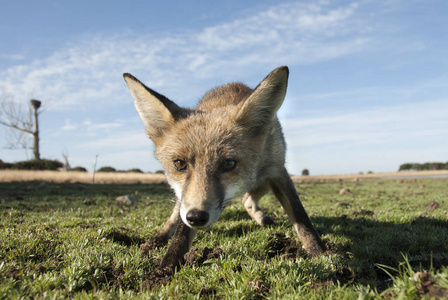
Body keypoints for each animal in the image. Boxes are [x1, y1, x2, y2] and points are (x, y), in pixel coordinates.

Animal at [123, 66, 326, 270]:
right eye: (179, 164)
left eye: (228, 164)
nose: (196, 217)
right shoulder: (188, 202)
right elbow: (181, 232)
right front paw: (166, 266)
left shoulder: (278, 172)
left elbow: (301, 218)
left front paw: (319, 253)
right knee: (179, 212)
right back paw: (158, 238)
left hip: (264, 179)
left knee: (247, 200)